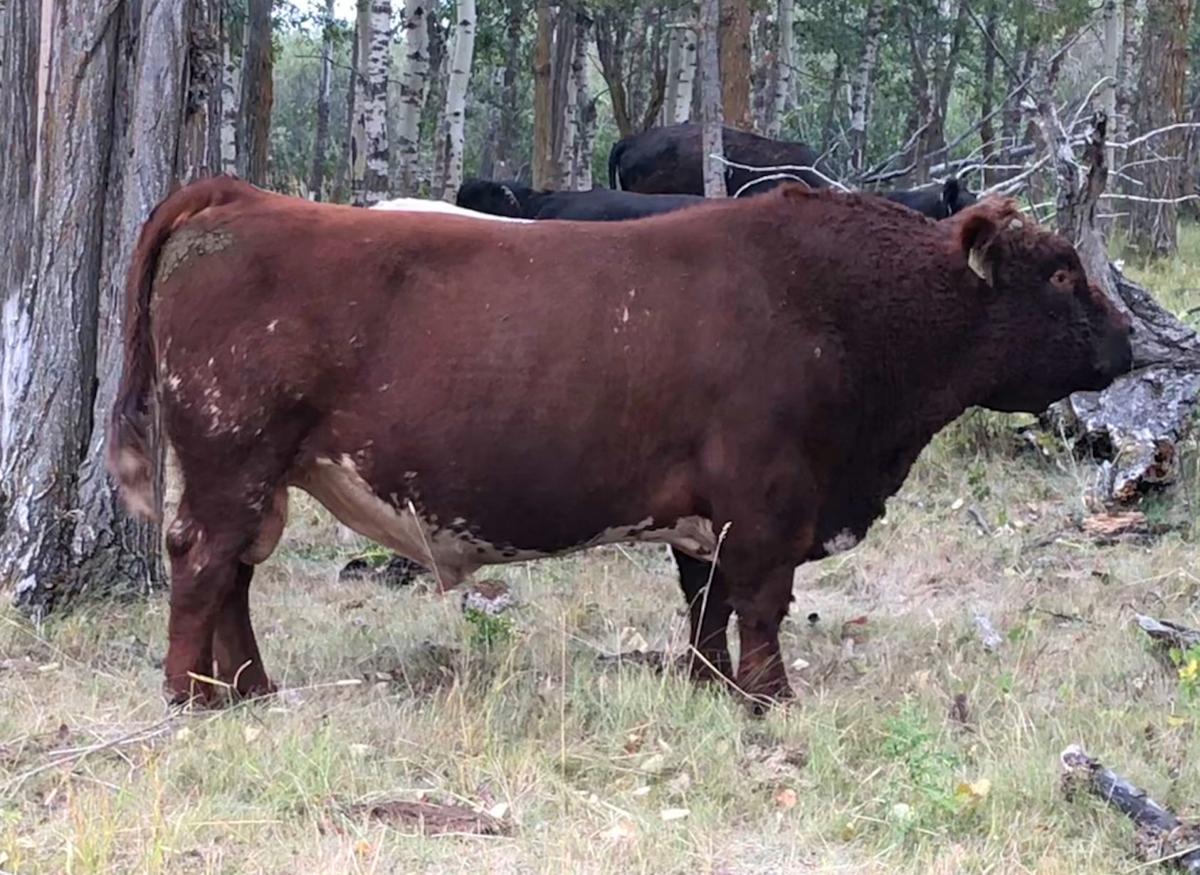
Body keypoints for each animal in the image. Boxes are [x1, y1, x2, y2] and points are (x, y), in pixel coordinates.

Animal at [108, 176, 1132, 710]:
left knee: (236, 571)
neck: (839, 303)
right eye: (1060, 273)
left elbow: (707, 605)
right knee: (203, 560)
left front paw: (709, 684)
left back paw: (248, 686)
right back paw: (191, 694)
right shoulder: (769, 498)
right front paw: (770, 698)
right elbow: (761, 603)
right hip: (232, 456)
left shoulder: (708, 515)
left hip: (261, 471)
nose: (1129, 339)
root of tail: (244, 198)